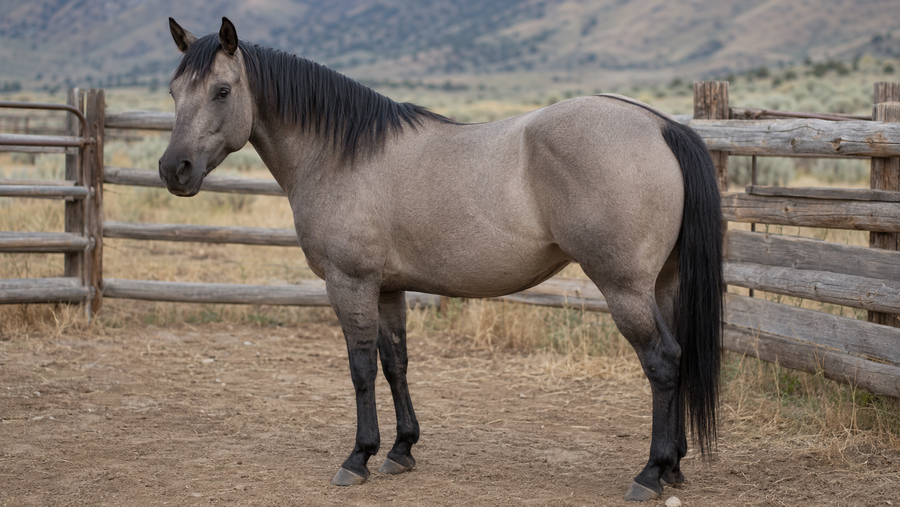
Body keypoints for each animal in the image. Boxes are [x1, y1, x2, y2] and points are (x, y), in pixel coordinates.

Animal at [159, 17, 723, 502]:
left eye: (222, 91)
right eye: (173, 91)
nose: (173, 170)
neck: (340, 154)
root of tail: (660, 127)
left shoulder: (350, 282)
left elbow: (361, 367)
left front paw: (358, 457)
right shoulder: (388, 287)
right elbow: (395, 363)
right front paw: (401, 449)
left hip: (624, 287)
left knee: (662, 361)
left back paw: (650, 473)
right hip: (662, 284)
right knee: (678, 355)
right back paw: (673, 467)